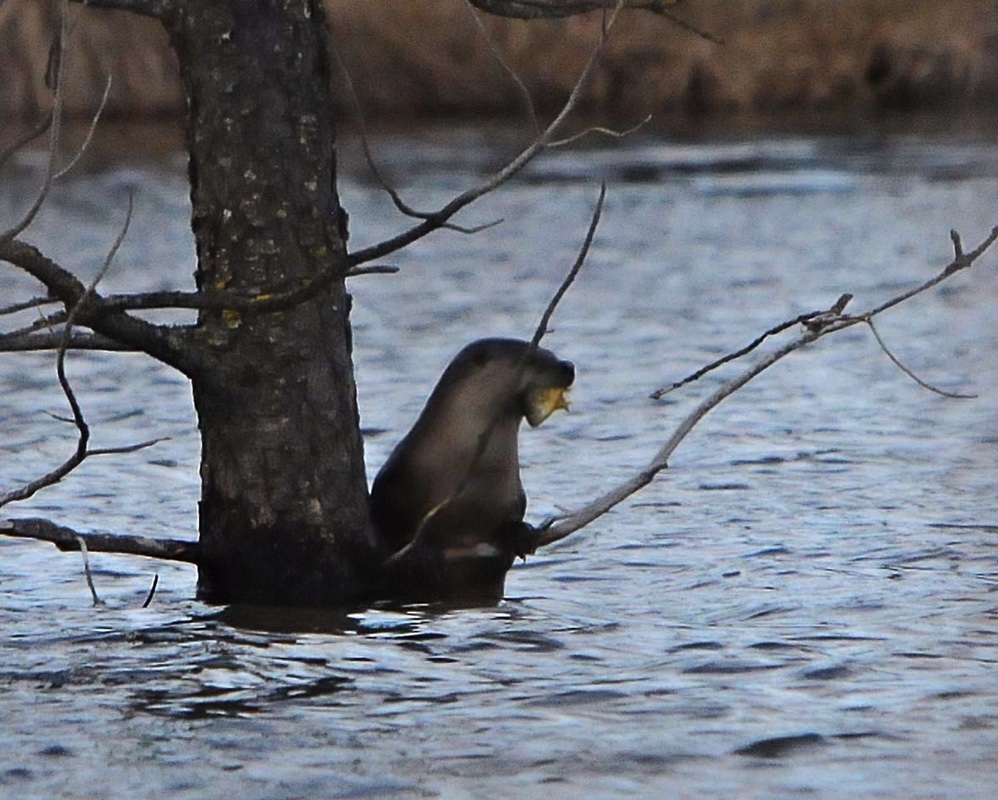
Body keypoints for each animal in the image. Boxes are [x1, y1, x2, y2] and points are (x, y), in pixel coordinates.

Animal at [370, 338, 574, 602]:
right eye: (533, 356)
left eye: (550, 352)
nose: (568, 366)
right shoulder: (394, 479)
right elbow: (389, 525)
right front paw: (423, 553)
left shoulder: (512, 495)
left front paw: (522, 533)